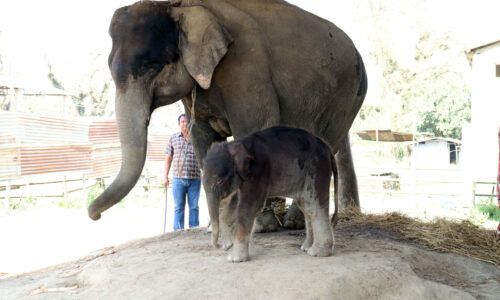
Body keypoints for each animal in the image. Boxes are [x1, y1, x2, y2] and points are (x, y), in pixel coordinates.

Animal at [88, 0, 366, 220]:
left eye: (151, 66)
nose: (95, 215)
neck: (182, 6)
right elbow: (202, 139)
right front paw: (220, 223)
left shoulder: (245, 65)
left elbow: (256, 126)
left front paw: (259, 225)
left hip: (346, 96)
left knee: (325, 146)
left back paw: (294, 222)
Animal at [203, 126, 336, 262]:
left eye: (219, 181)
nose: (220, 247)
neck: (236, 144)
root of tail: (328, 149)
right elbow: (234, 204)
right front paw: (228, 245)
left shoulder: (258, 172)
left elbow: (248, 208)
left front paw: (234, 259)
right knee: (305, 206)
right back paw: (306, 248)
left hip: (317, 169)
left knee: (313, 206)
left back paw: (317, 253)